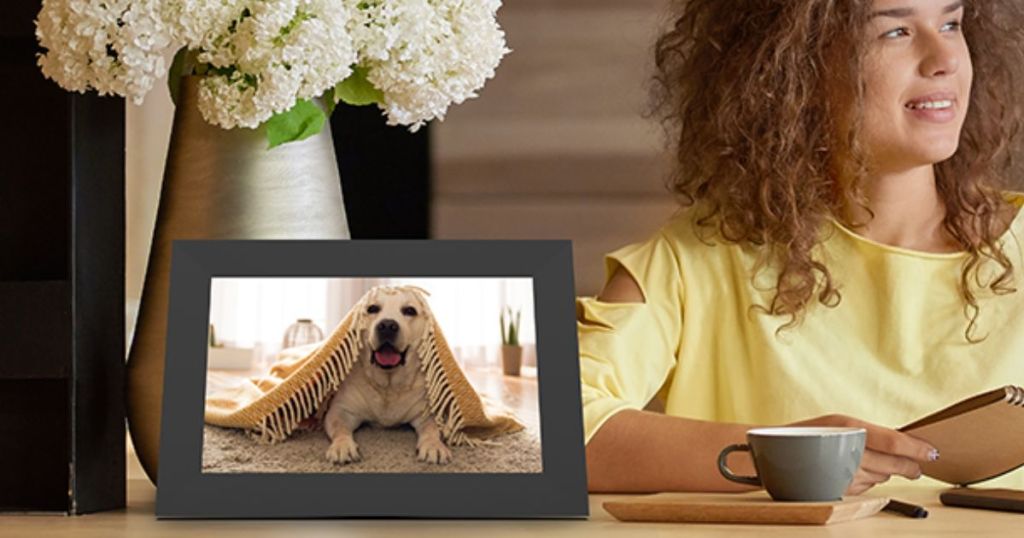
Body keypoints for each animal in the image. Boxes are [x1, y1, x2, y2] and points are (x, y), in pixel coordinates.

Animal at [319, 286, 448, 463]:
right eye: (372, 309)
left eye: (409, 311)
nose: (387, 325)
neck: (388, 386)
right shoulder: (340, 410)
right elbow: (340, 428)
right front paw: (342, 445)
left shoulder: (427, 413)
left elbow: (432, 429)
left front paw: (433, 445)